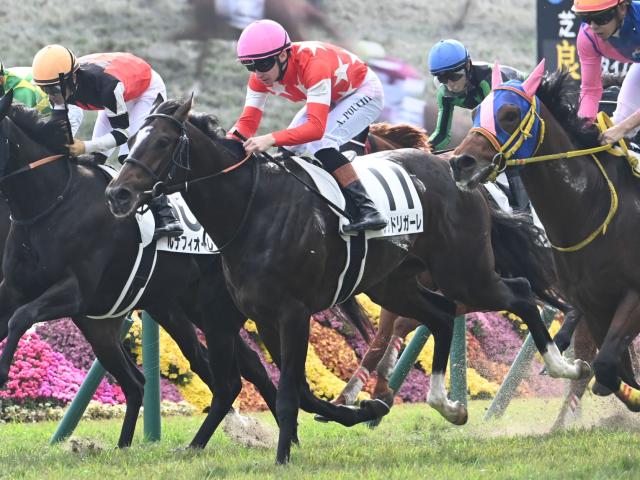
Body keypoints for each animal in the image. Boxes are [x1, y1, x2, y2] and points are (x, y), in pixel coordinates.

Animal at [106, 96, 590, 463]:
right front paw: (361, 410)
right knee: (439, 315)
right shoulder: (263, 316)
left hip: (464, 272)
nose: (118, 193)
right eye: (130, 140)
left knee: (520, 295)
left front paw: (282, 457)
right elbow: (298, 390)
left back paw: (565, 366)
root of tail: (457, 169)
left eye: (163, 141)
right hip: (392, 283)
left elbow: (289, 390)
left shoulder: (292, 312)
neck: (253, 208)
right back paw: (448, 406)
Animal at [450, 62, 640, 411]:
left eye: (510, 114)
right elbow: (608, 370)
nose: (461, 162)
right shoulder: (595, 305)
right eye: (475, 114)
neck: (591, 208)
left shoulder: (633, 294)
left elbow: (608, 365)